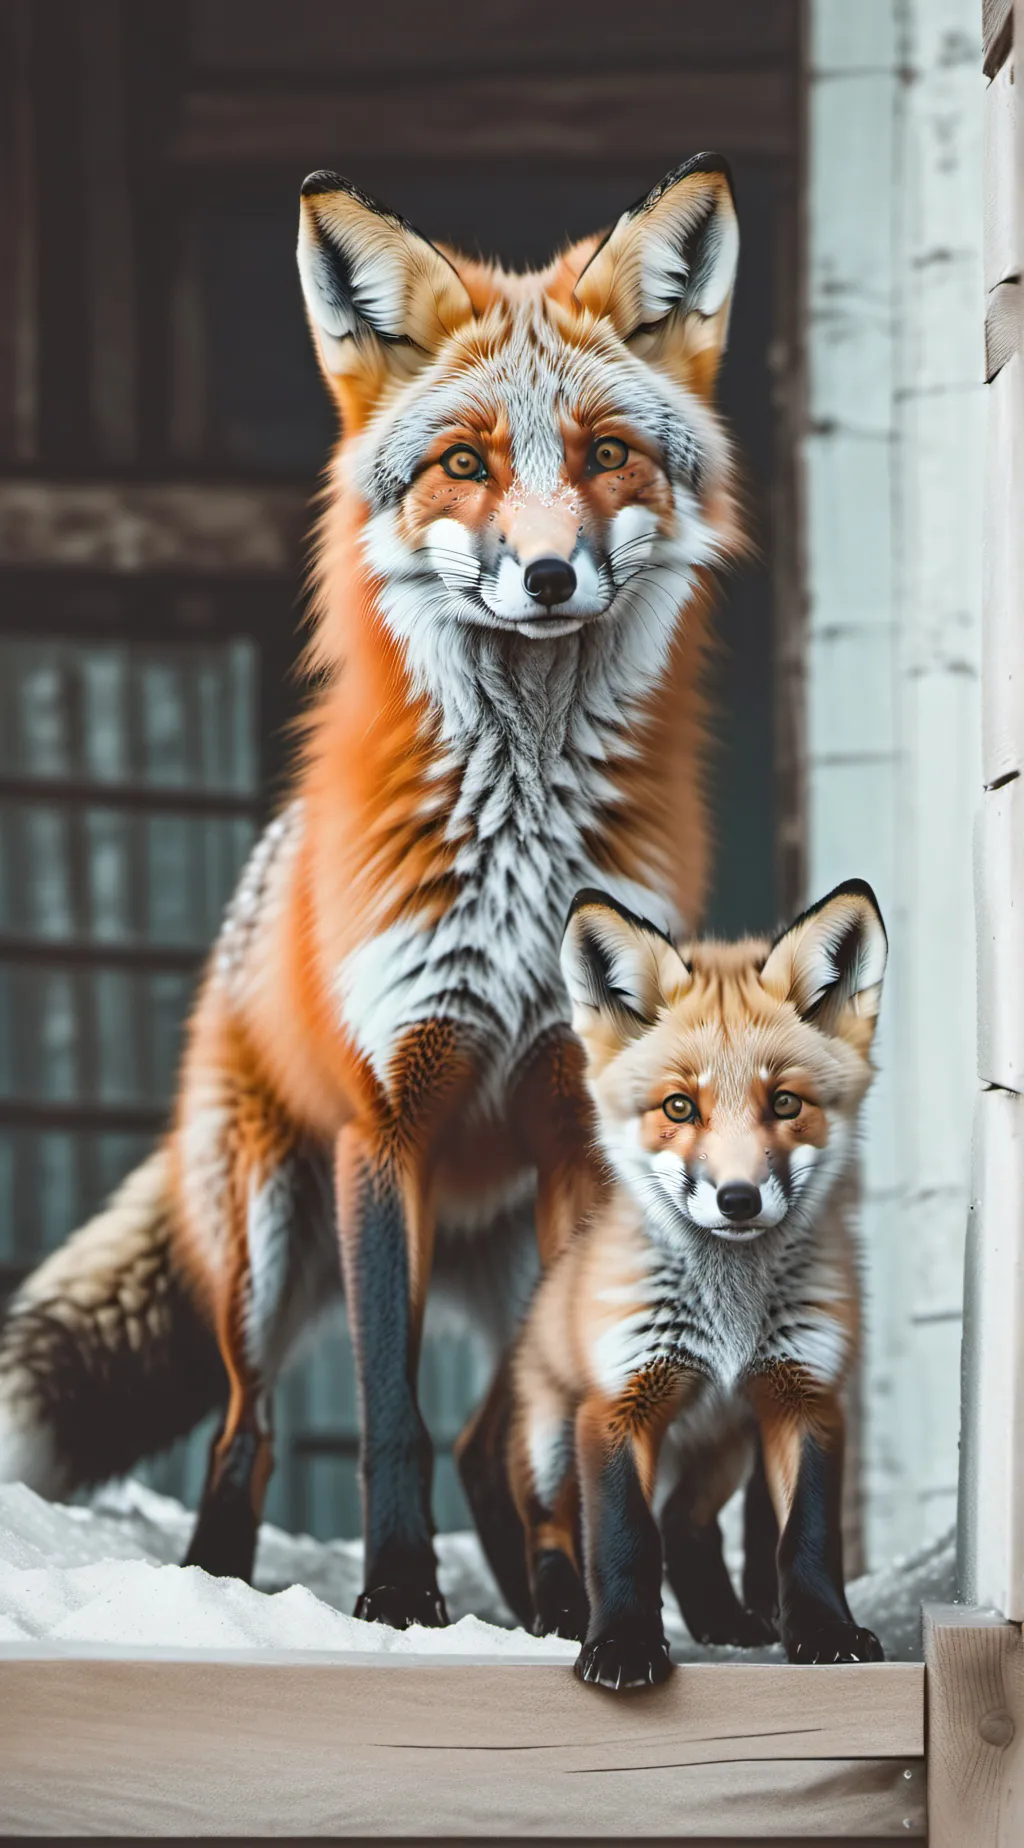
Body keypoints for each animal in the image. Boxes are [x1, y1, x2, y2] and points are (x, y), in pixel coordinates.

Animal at [0, 156, 743, 1629]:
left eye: (604, 454)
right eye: (465, 463)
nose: (549, 575)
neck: (520, 851)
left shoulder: (569, 1130)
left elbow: (535, 1442)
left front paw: (565, 1613)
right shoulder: (385, 1120)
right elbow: (386, 1408)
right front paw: (399, 1597)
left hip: (530, 1258)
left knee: (492, 1434)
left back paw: (539, 1598)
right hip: (267, 1243)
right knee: (250, 1431)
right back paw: (222, 1585)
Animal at [462, 880, 887, 1687]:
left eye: (785, 1103)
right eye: (679, 1107)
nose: (739, 1199)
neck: (728, 1320)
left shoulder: (805, 1397)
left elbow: (808, 1538)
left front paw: (824, 1632)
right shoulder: (618, 1405)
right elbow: (624, 1539)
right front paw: (622, 1646)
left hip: (723, 1448)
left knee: (688, 1527)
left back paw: (724, 1622)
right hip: (548, 1439)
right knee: (552, 1530)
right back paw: (560, 1615)